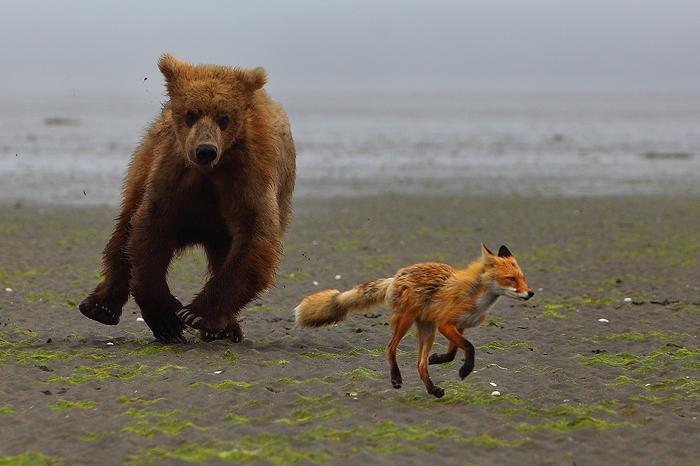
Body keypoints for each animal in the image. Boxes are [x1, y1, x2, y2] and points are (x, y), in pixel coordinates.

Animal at [79, 54, 296, 343]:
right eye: (191, 114)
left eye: (224, 118)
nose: (205, 150)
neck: (211, 171)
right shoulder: (173, 176)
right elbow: (149, 232)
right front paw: (167, 320)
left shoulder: (249, 177)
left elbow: (254, 239)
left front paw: (196, 314)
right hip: (145, 161)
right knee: (124, 229)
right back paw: (100, 307)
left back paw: (225, 329)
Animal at [294, 244, 533, 398]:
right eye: (511, 279)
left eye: (523, 278)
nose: (530, 293)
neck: (476, 297)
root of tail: (396, 275)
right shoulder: (446, 324)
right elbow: (470, 348)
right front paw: (465, 370)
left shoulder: (458, 326)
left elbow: (453, 352)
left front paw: (438, 359)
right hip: (408, 321)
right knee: (390, 348)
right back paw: (396, 377)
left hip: (428, 329)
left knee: (420, 364)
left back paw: (433, 390)